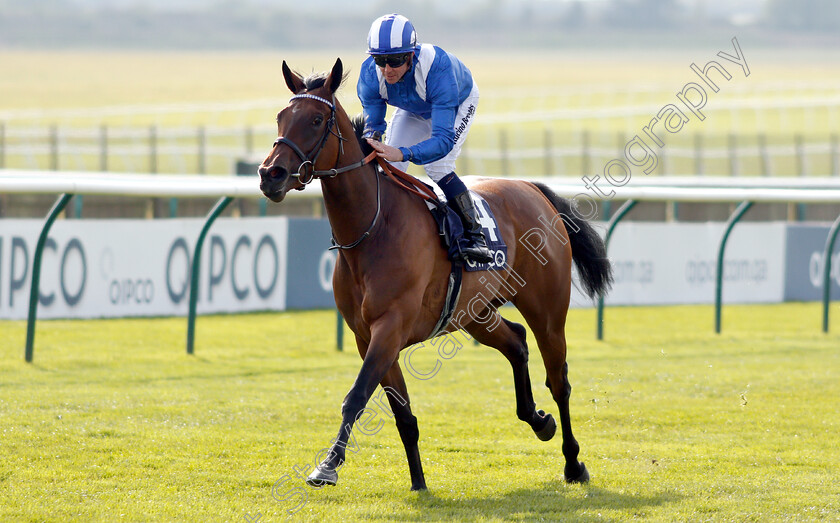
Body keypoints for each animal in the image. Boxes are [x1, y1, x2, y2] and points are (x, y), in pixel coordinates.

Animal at [256, 58, 612, 492]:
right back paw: (538, 420)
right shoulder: (366, 335)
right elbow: (402, 415)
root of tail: (531, 188)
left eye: (317, 119)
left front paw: (328, 465)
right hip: (475, 312)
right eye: (281, 117)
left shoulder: (390, 327)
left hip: (546, 308)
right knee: (515, 341)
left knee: (558, 378)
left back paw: (573, 463)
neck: (373, 228)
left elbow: (357, 395)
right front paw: (419, 482)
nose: (270, 174)